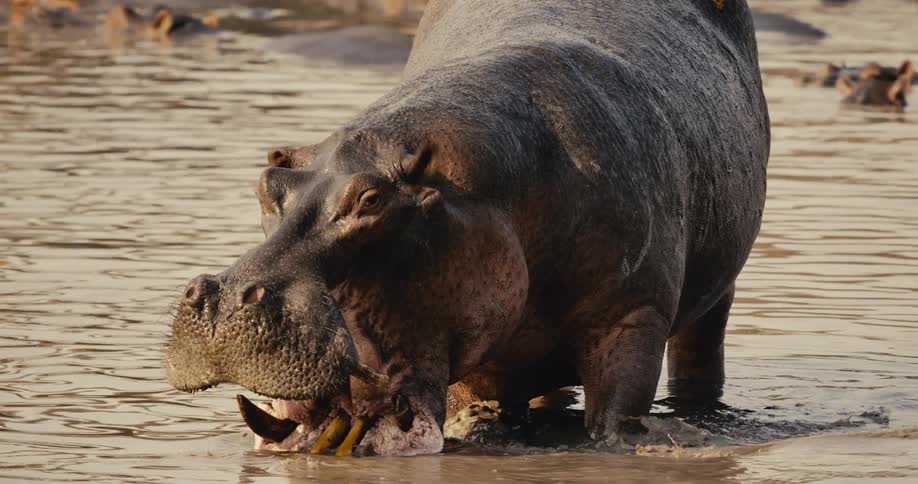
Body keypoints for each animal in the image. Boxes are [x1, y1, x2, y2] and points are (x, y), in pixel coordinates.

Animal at [165, 0, 769, 456]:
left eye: (371, 200)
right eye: (268, 184)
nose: (224, 300)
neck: (477, 188)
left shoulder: (632, 314)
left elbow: (617, 412)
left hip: (716, 295)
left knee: (701, 347)